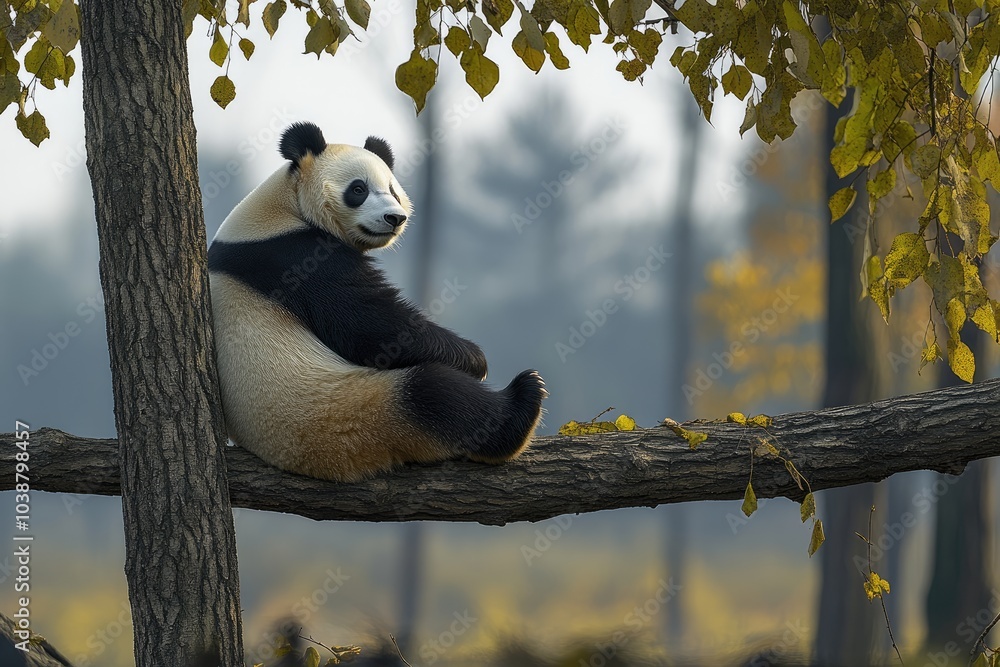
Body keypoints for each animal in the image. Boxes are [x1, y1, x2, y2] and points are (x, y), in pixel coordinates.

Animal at [207, 121, 546, 482]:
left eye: (393, 190)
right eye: (358, 189)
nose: (394, 218)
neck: (284, 204)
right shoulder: (293, 256)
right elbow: (370, 326)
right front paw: (475, 359)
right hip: (347, 415)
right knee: (434, 395)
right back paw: (523, 404)